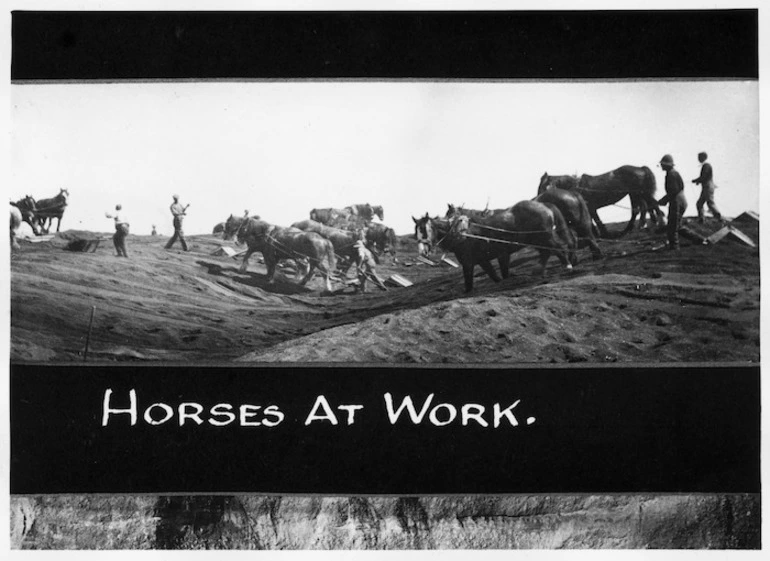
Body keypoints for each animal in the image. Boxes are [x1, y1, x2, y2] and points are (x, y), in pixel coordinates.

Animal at [536, 165, 664, 237]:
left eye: (543, 185)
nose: (537, 198)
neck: (576, 185)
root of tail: (641, 168)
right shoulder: (589, 209)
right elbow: (593, 221)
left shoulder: (591, 208)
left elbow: (596, 221)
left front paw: (603, 234)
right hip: (635, 194)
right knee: (640, 209)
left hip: (640, 193)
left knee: (650, 205)